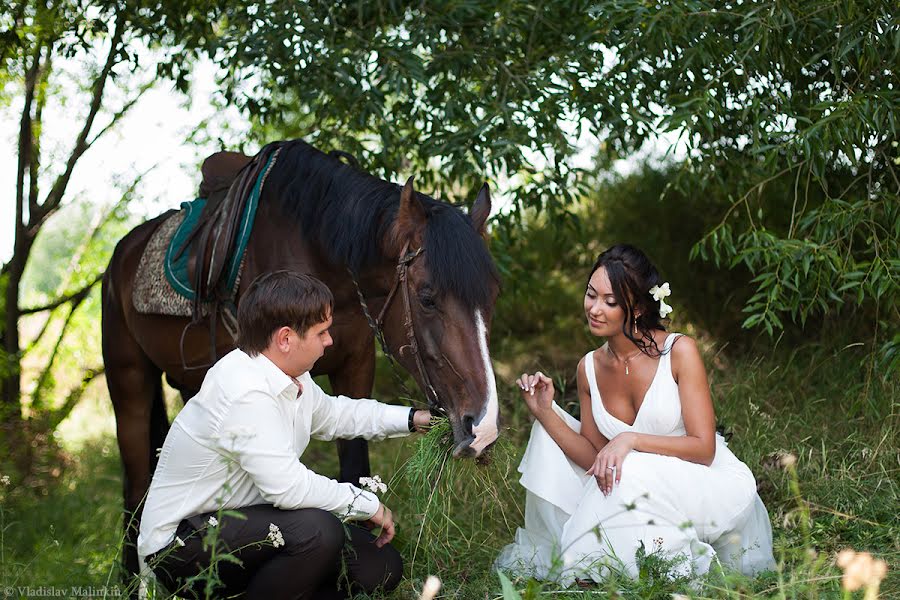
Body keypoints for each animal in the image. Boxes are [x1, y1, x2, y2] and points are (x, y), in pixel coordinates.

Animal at [103, 138, 506, 576]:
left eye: (493, 296)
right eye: (428, 297)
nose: (483, 428)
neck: (319, 258)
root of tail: (122, 253)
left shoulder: (355, 367)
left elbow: (355, 465)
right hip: (129, 386)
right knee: (136, 487)